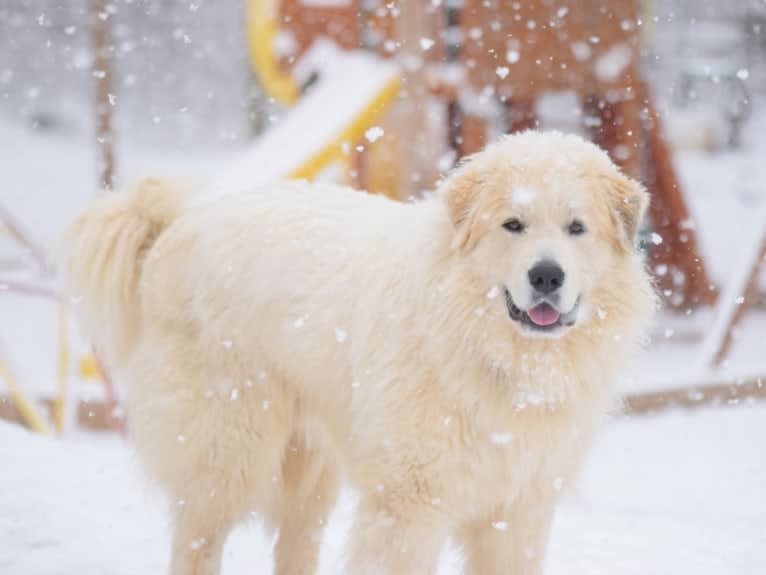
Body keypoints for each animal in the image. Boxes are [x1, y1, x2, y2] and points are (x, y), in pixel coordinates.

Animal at [64, 133, 656, 572]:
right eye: (514, 224)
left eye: (577, 228)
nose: (547, 276)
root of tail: (173, 231)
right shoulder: (408, 505)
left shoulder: (517, 511)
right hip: (228, 451)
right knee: (196, 541)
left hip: (308, 468)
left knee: (294, 545)